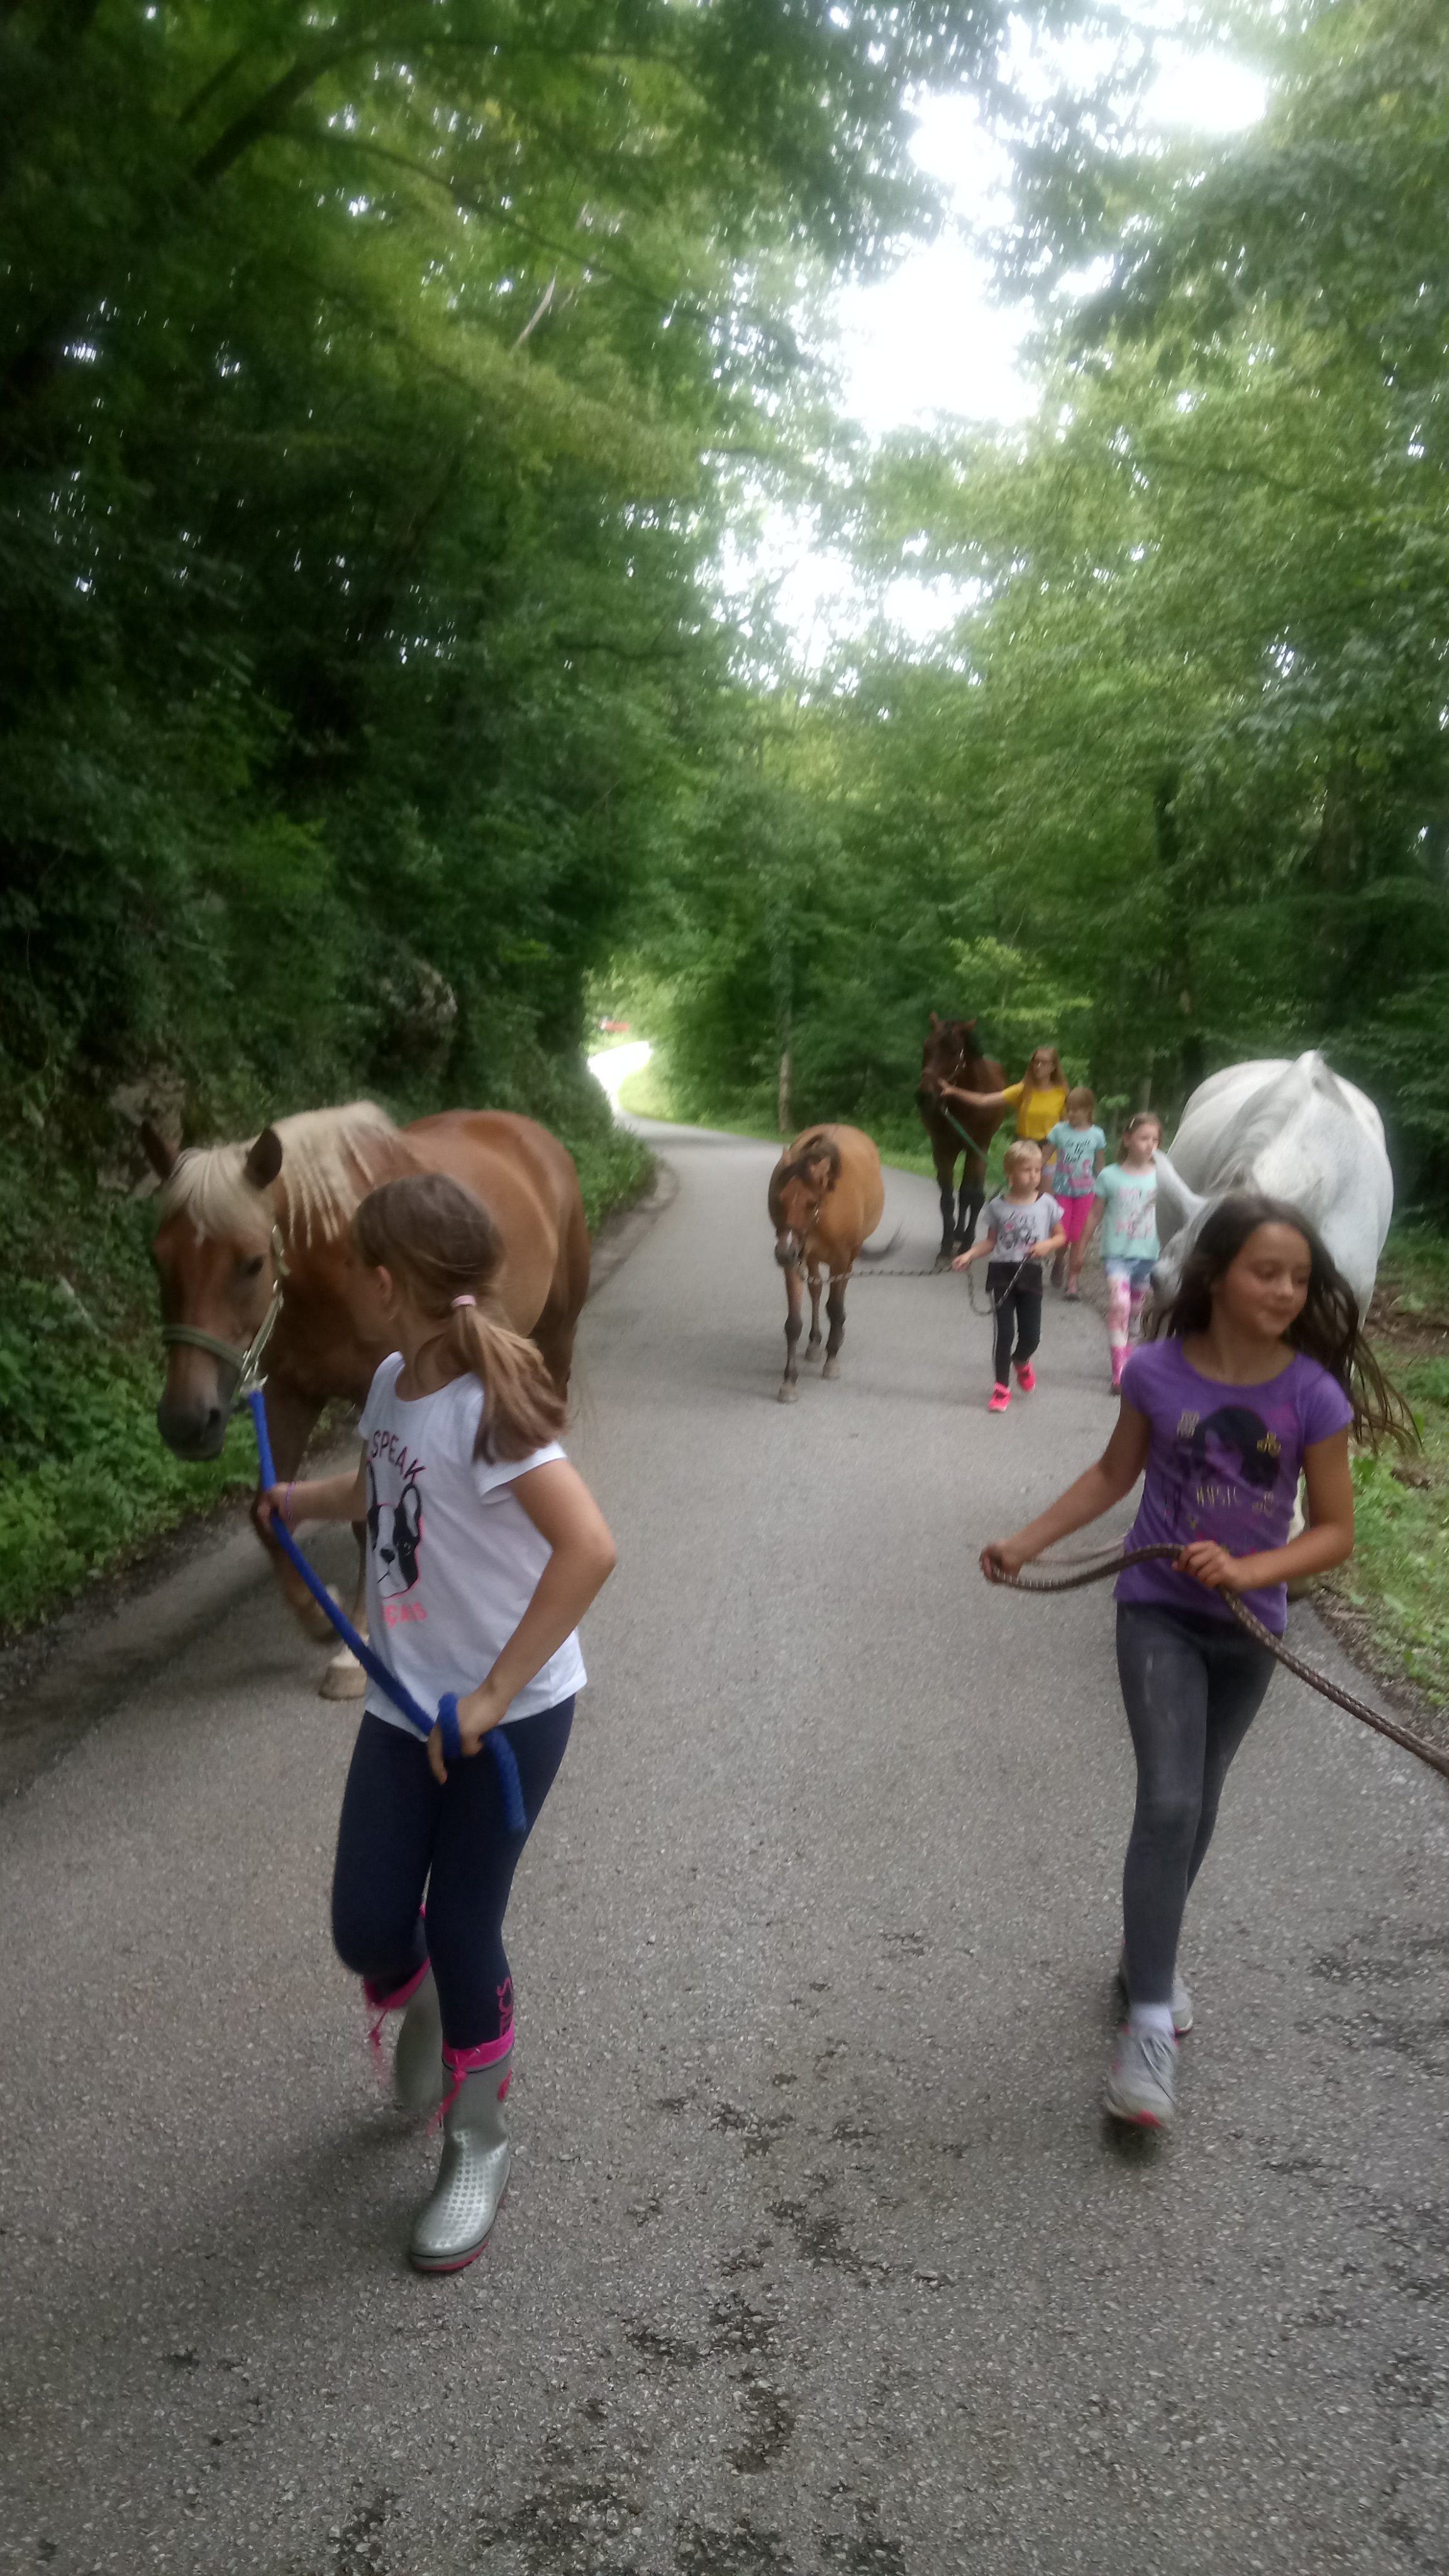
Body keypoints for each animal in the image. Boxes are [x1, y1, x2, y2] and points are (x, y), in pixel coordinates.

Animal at [145, 1100, 590, 1697]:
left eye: (252, 1262)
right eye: (158, 1260)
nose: (186, 1422)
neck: (331, 1264)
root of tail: (529, 1132)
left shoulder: (373, 1394)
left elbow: (366, 1522)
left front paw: (352, 1652)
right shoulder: (288, 1395)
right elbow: (267, 1516)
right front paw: (319, 1615)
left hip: (558, 1330)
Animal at [768, 1124, 885, 1404]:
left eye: (811, 1202)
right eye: (781, 1198)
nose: (783, 1253)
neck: (824, 1212)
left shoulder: (840, 1260)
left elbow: (835, 1307)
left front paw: (832, 1359)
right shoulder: (795, 1261)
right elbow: (793, 1323)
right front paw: (789, 1382)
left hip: (848, 1256)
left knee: (836, 1298)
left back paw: (835, 1338)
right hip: (809, 1257)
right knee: (816, 1289)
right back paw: (814, 1342)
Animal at [917, 1014, 1004, 1261]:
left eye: (955, 1051)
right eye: (927, 1046)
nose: (924, 1096)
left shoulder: (977, 1148)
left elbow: (970, 1195)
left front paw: (966, 1244)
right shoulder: (942, 1149)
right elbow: (947, 1198)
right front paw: (946, 1247)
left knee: (973, 1194)